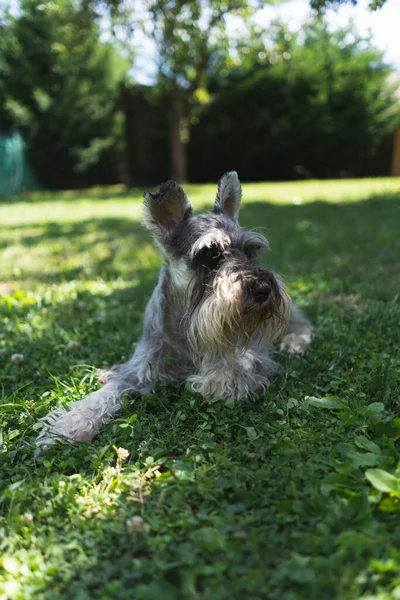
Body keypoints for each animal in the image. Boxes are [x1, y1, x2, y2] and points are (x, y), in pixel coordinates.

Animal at [36, 170, 314, 450]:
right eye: (210, 254)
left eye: (250, 250)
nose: (263, 289)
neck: (184, 328)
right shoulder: (140, 367)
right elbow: (106, 392)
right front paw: (69, 424)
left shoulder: (253, 358)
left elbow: (229, 372)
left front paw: (208, 380)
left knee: (303, 324)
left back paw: (295, 343)